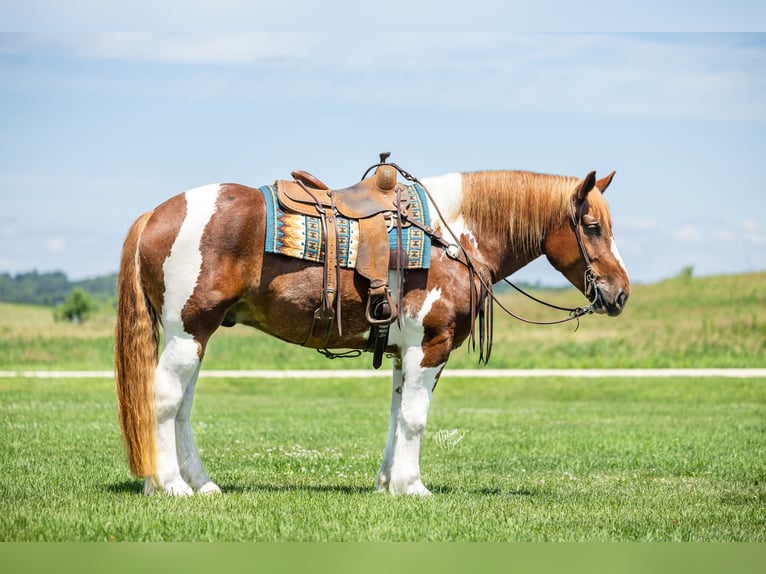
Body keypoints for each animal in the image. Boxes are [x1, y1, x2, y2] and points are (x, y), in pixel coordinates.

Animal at [114, 162, 630, 496]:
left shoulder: (406, 353)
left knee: (182, 409)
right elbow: (416, 418)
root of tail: (157, 214)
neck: (453, 236)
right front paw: (413, 486)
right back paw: (171, 486)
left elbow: (397, 415)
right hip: (187, 334)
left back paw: (200, 484)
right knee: (165, 400)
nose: (620, 293)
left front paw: (387, 483)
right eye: (591, 226)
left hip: (196, 337)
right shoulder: (430, 346)